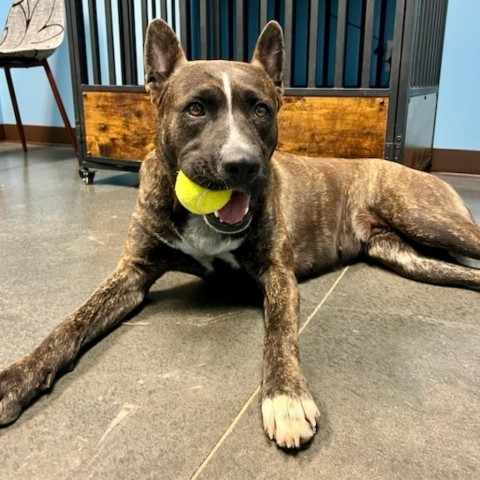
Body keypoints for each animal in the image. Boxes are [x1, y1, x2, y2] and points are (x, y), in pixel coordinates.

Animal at [0, 19, 480, 450]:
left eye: (261, 109)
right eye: (195, 109)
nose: (243, 165)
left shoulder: (278, 274)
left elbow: (280, 334)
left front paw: (285, 397)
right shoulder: (133, 272)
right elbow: (70, 322)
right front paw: (18, 375)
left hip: (428, 220)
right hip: (408, 256)